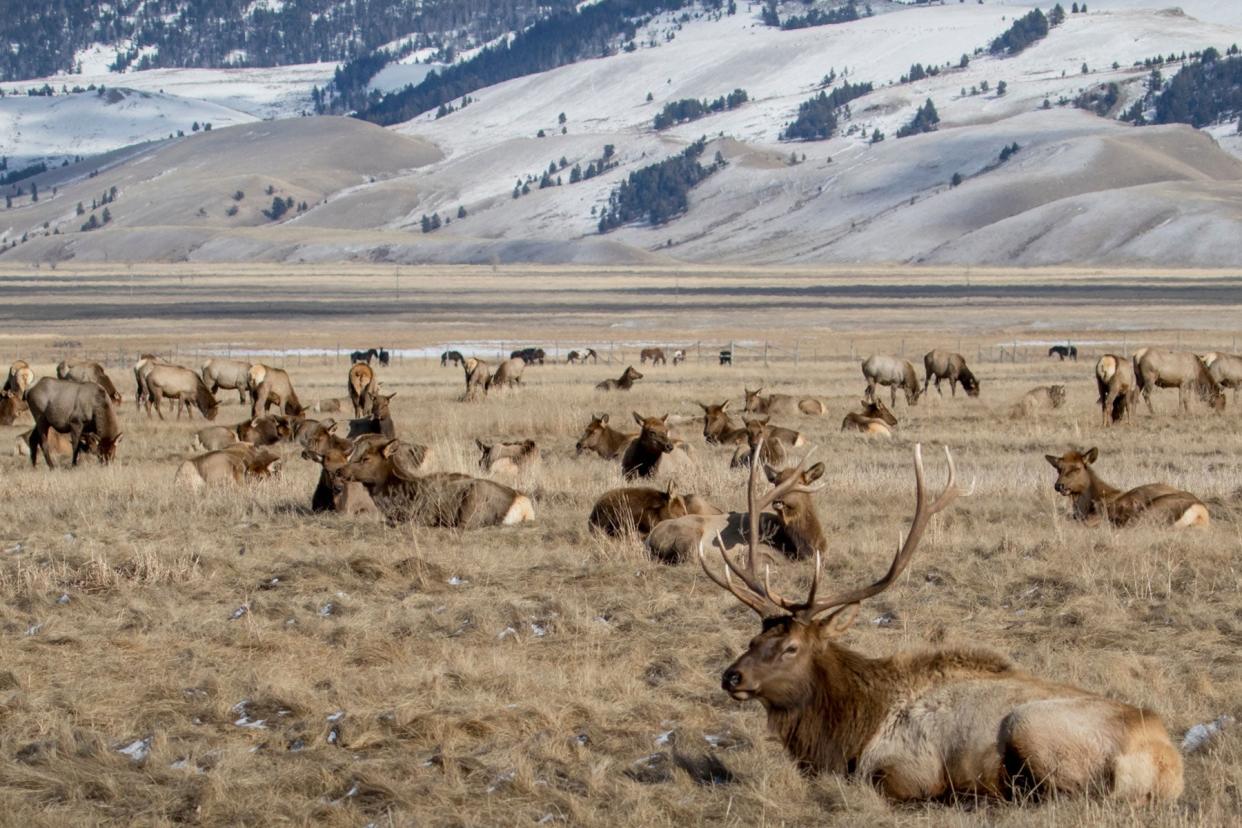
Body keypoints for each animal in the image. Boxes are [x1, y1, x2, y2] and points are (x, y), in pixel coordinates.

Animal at [645, 439, 829, 571]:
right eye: (776, 482)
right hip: (688, 535)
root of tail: (648, 539)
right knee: (691, 558)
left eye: (800, 482)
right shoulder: (756, 551)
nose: (777, 501)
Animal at [700, 446, 1182, 804]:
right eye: (754, 637)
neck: (850, 728)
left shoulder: (905, 768)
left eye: (792, 647)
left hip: (1031, 726)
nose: (731, 676)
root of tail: (1169, 765)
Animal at [1043, 449, 1207, 528]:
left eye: (1077, 468)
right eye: (1058, 468)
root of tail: (1201, 512)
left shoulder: (1102, 512)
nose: (1059, 485)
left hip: (1150, 511)